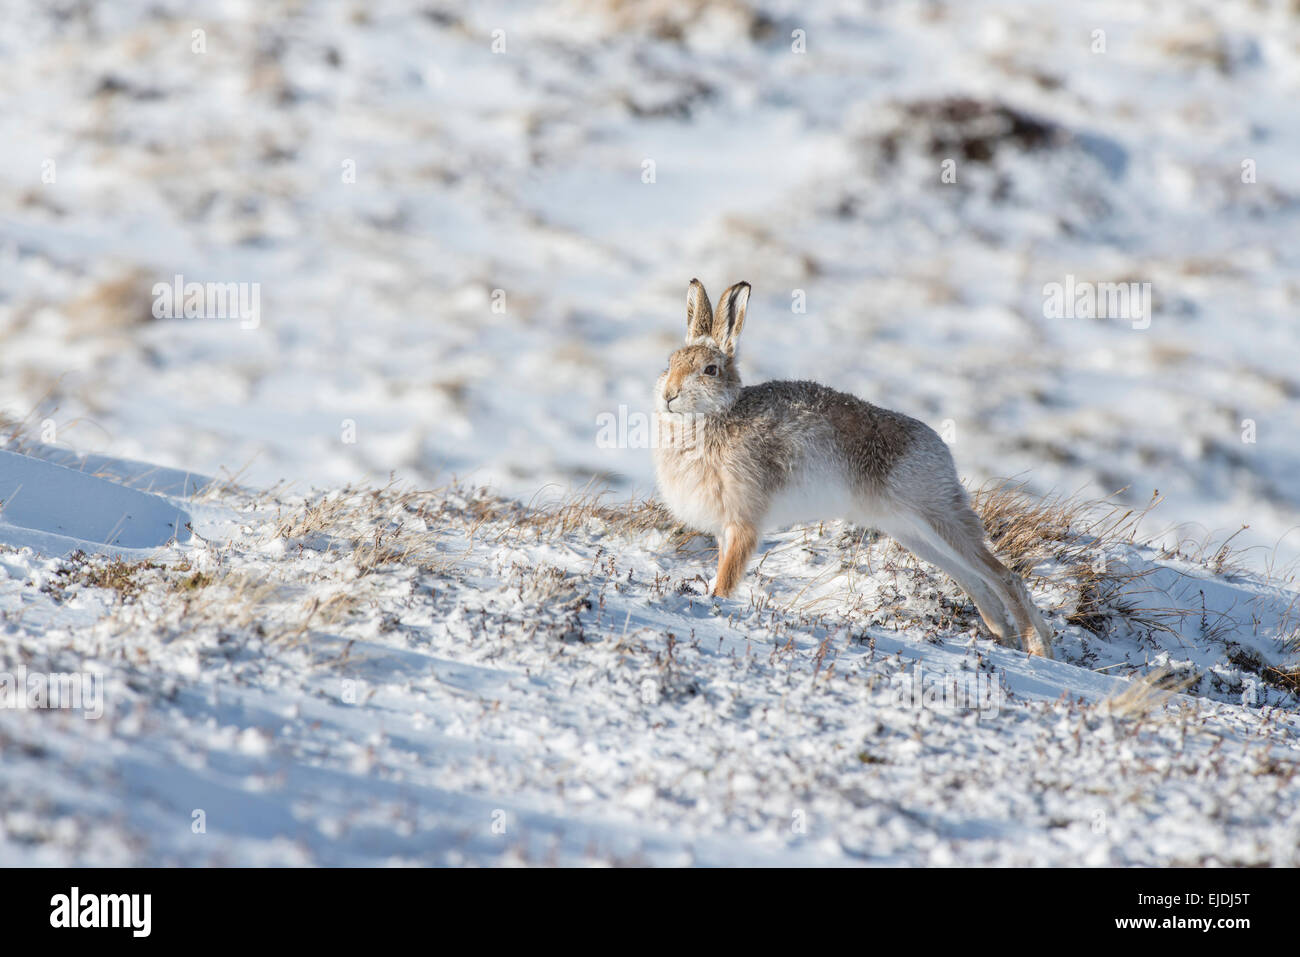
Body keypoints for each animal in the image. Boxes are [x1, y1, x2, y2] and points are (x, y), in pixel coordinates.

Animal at [652, 278, 1054, 658]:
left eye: (710, 370)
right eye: (669, 364)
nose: (669, 395)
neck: (714, 417)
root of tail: (939, 448)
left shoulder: (743, 523)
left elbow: (726, 579)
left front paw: (714, 604)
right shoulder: (725, 526)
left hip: (935, 513)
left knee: (1005, 578)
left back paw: (1037, 650)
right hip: (909, 529)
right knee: (973, 580)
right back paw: (1005, 640)